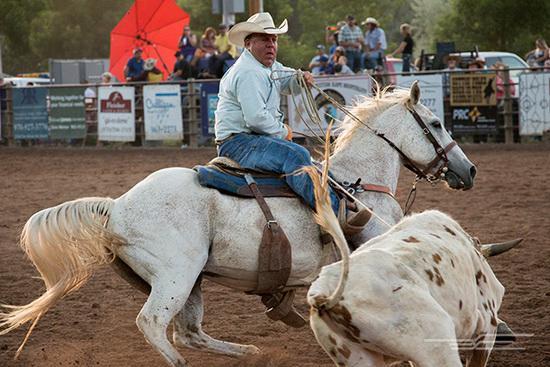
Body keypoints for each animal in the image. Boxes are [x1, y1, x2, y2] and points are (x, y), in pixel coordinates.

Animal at [0, 84, 476, 367]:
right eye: (436, 123)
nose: (467, 170)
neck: (357, 183)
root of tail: (117, 207)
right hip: (175, 276)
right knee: (153, 323)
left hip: (191, 281)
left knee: (189, 332)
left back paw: (249, 350)